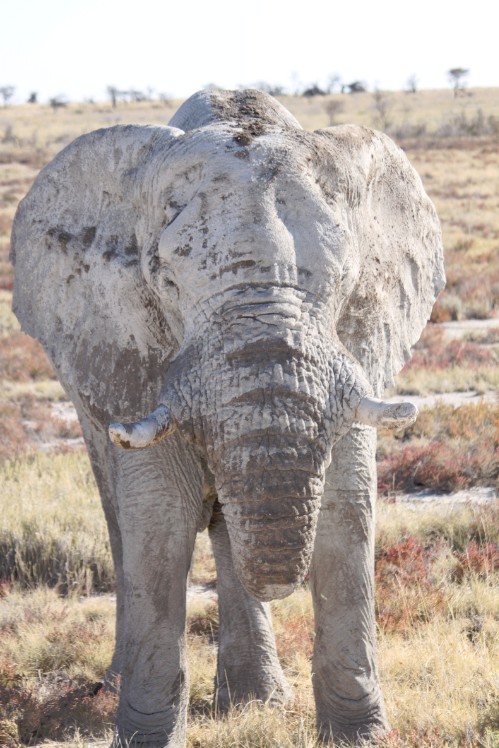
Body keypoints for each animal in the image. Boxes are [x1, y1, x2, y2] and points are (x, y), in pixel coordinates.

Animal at [9, 86, 444, 744]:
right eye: (163, 280)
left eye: (346, 281)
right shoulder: (136, 350)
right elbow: (157, 517)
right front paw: (143, 737)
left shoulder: (352, 351)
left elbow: (347, 504)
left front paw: (360, 737)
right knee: (120, 514)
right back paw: (119, 684)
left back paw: (256, 700)